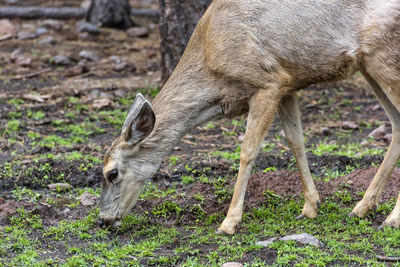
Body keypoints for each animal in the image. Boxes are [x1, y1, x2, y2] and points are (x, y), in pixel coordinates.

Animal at [98, 0, 400, 234]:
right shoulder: (288, 84)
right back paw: (362, 207)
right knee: (396, 124)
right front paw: (310, 207)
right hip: (368, 65)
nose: (102, 219)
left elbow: (247, 151)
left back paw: (391, 219)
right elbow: (296, 141)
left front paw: (229, 222)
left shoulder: (268, 82)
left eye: (111, 173)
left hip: (384, 56)